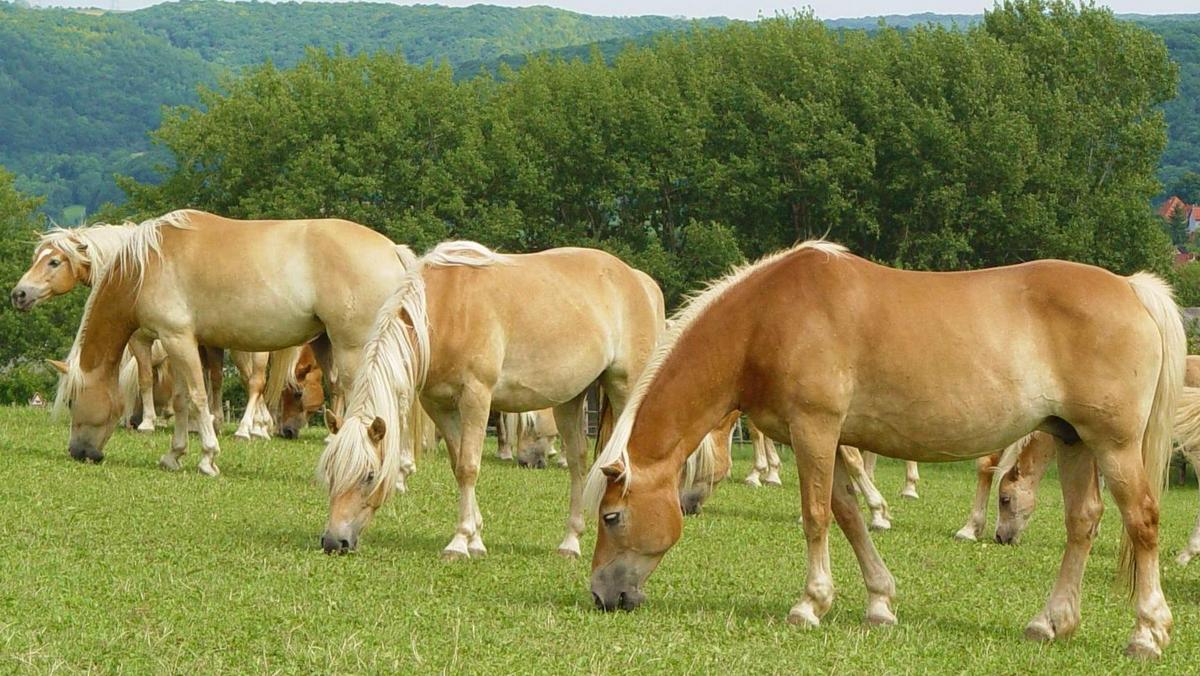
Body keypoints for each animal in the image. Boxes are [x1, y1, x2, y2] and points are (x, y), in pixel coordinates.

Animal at [53, 209, 412, 476]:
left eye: (72, 401)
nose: (78, 451)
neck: (148, 264)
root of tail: (393, 250)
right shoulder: (179, 342)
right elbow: (182, 400)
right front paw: (174, 455)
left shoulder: (177, 339)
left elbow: (198, 398)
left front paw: (208, 457)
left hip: (354, 351)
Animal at [317, 241, 663, 560]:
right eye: (330, 471)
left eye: (369, 475)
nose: (334, 541)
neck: (445, 311)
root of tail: (636, 279)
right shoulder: (439, 405)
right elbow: (458, 465)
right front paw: (476, 539)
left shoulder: (476, 397)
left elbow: (469, 466)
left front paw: (459, 542)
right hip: (570, 399)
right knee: (578, 460)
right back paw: (570, 542)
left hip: (624, 389)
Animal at [584, 240, 1182, 659]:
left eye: (611, 517)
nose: (600, 596)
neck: (767, 319)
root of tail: (1132, 288)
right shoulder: (828, 439)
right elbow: (848, 514)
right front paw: (879, 603)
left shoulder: (815, 430)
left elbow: (817, 515)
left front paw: (810, 604)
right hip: (1073, 441)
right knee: (1083, 523)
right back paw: (1050, 622)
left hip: (1114, 445)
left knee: (1142, 522)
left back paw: (1147, 634)